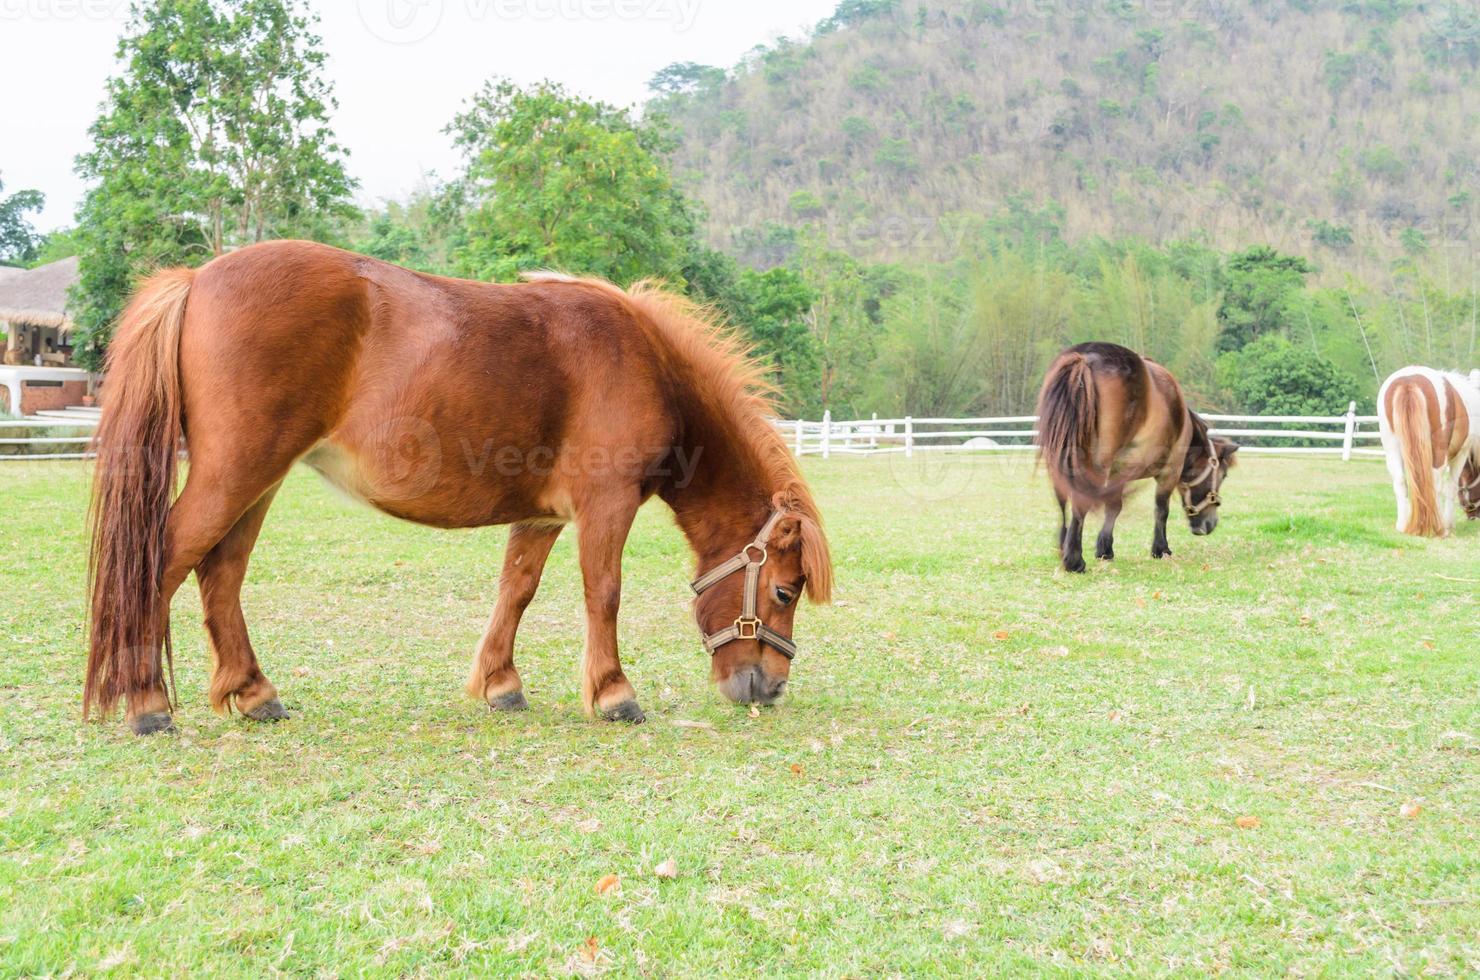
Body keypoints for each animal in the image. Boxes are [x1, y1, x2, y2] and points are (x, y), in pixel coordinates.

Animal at [83, 241, 834, 737]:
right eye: (784, 592)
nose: (769, 688)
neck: (646, 362)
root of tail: (197, 278)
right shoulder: (606, 505)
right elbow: (604, 593)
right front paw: (613, 693)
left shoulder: (543, 517)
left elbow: (517, 590)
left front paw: (501, 683)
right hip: (236, 472)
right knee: (165, 560)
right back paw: (148, 704)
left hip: (257, 481)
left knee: (221, 573)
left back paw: (254, 692)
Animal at [1041, 343, 1237, 577]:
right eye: (1223, 475)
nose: (1210, 524)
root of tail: (1084, 359)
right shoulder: (1169, 470)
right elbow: (1160, 509)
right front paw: (1161, 549)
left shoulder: (1117, 471)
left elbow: (1113, 506)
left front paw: (1104, 549)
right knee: (1080, 502)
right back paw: (1074, 560)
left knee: (1062, 499)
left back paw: (1063, 548)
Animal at [1373, 368, 1480, 538]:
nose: (1473, 517)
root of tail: (1408, 381)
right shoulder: (1461, 453)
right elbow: (1452, 486)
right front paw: (1449, 523)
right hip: (1439, 452)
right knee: (1435, 482)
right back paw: (1439, 528)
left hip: (1391, 447)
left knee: (1400, 481)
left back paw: (1403, 526)